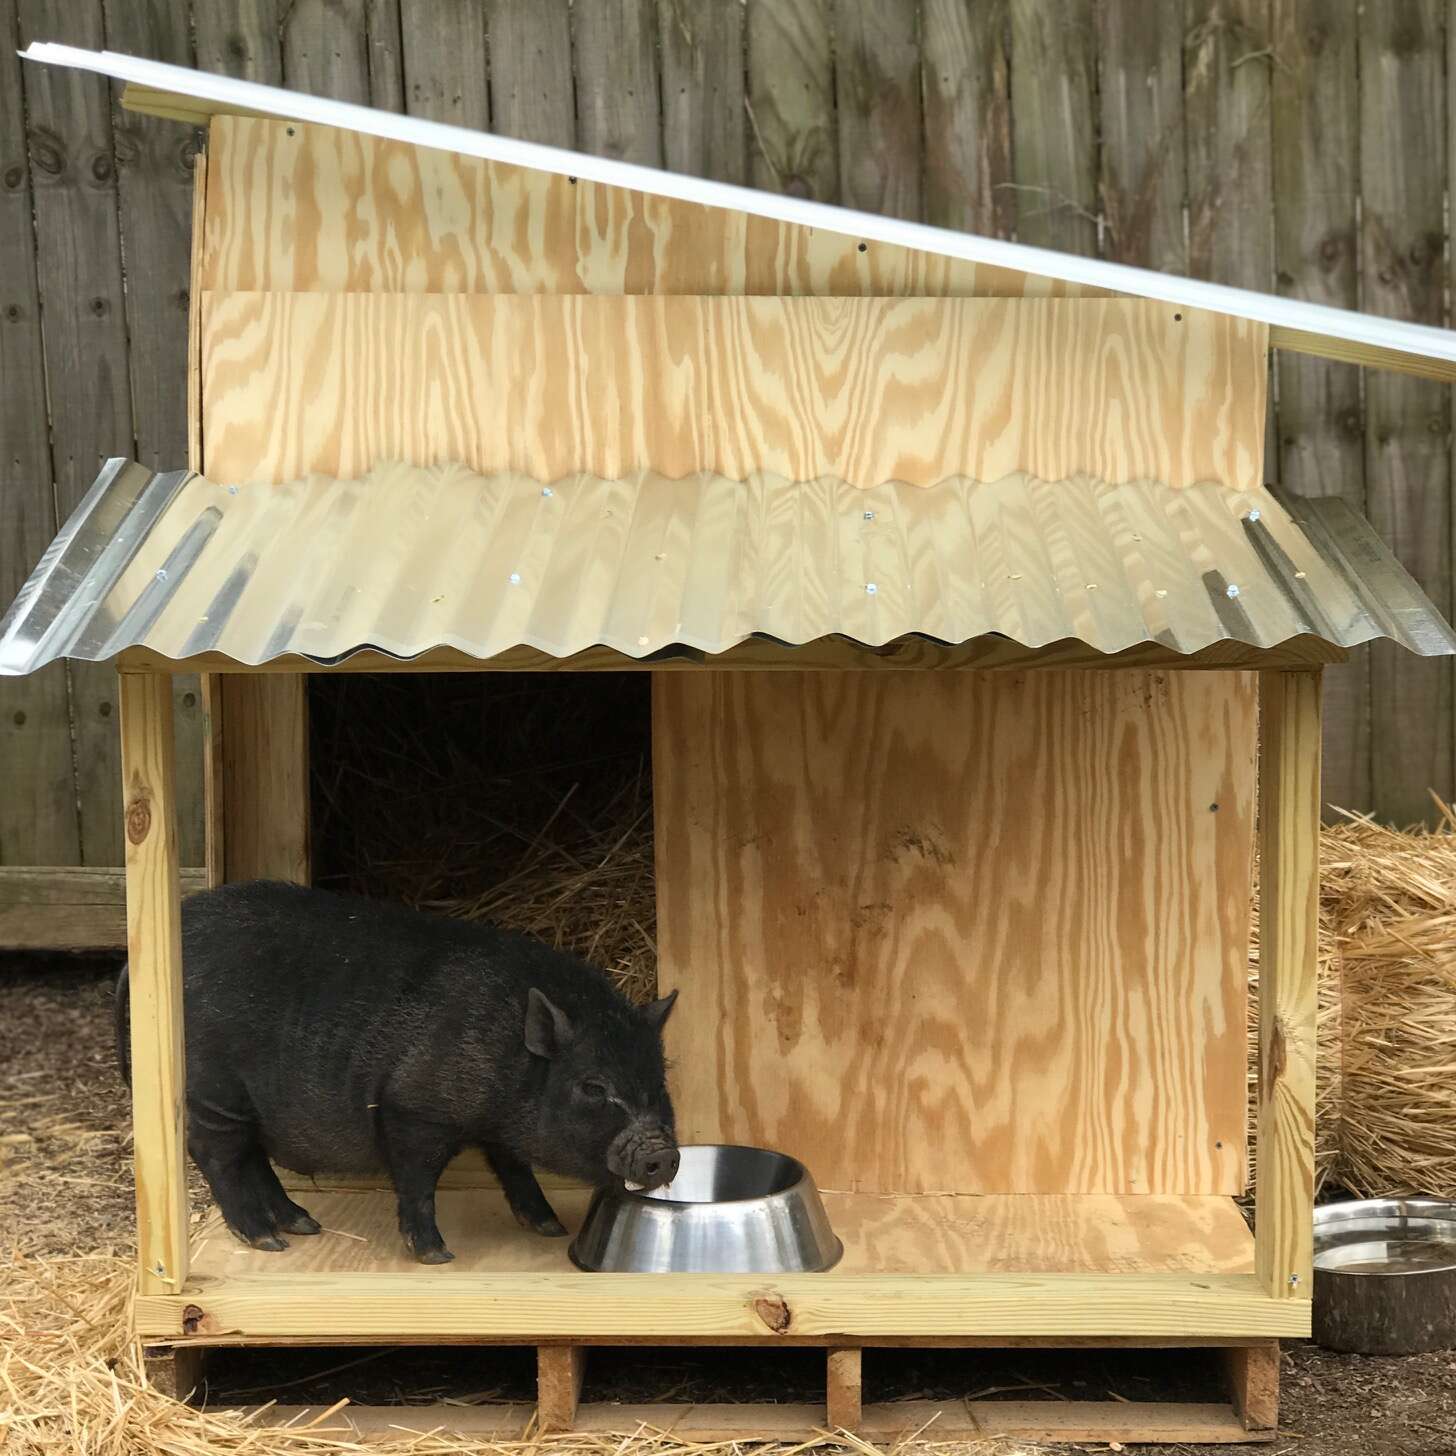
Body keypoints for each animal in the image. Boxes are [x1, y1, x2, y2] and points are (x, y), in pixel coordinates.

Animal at [116, 873, 678, 1263]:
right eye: (593, 1086)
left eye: (658, 1080)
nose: (663, 1154)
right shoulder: (410, 1109)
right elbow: (417, 1181)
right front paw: (437, 1255)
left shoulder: (495, 1127)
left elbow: (513, 1166)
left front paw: (549, 1229)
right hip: (214, 1090)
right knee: (216, 1155)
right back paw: (268, 1241)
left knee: (251, 1158)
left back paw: (302, 1225)